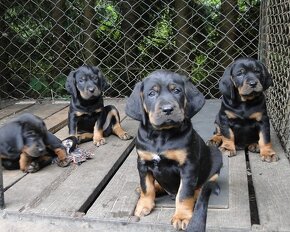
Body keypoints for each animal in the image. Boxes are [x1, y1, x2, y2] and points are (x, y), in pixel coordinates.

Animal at [125, 70, 222, 230]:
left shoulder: (188, 166)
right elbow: (146, 187)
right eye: (151, 93)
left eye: (177, 91)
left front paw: (182, 216)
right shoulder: (143, 162)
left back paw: (198, 191)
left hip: (216, 154)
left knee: (206, 181)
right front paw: (144, 205)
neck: (161, 135)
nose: (168, 109)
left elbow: (184, 194)